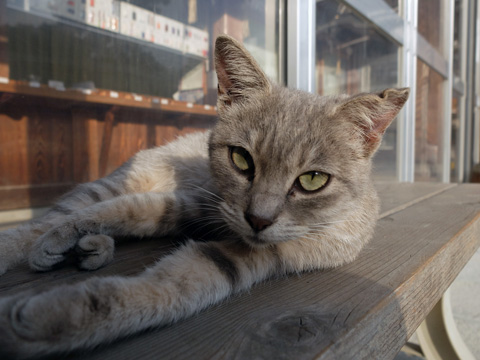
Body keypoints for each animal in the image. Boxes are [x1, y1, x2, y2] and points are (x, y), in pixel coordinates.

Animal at [0, 35, 408, 358]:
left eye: (312, 180)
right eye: (241, 158)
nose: (258, 220)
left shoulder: (259, 256)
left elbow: (171, 288)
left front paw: (49, 319)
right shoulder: (197, 201)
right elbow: (120, 210)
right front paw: (61, 237)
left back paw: (92, 247)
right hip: (120, 179)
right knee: (54, 214)